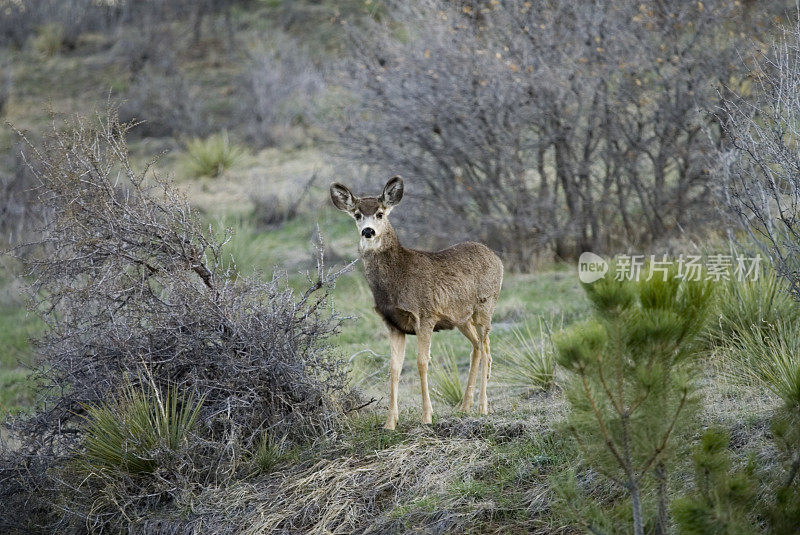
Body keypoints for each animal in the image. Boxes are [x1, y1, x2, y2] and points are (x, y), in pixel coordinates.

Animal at [330, 177, 504, 432]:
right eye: (357, 214)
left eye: (380, 213)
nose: (368, 231)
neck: (397, 281)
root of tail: (496, 257)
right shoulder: (394, 324)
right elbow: (394, 368)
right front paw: (390, 423)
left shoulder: (426, 315)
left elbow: (422, 363)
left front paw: (427, 417)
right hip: (461, 317)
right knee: (479, 348)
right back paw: (465, 406)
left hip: (485, 306)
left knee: (484, 347)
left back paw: (482, 407)